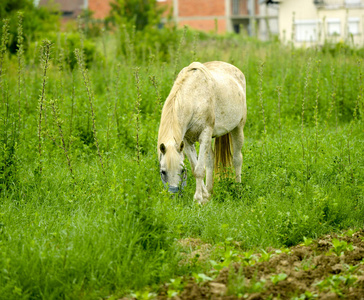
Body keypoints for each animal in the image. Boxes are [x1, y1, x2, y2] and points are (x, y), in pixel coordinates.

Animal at [157, 60, 247, 204]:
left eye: (182, 170)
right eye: (163, 172)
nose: (174, 196)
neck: (194, 97)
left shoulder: (204, 134)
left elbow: (199, 169)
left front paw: (198, 199)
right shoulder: (187, 141)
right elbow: (196, 168)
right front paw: (205, 197)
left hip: (237, 128)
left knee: (237, 158)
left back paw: (238, 189)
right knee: (210, 160)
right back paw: (210, 191)